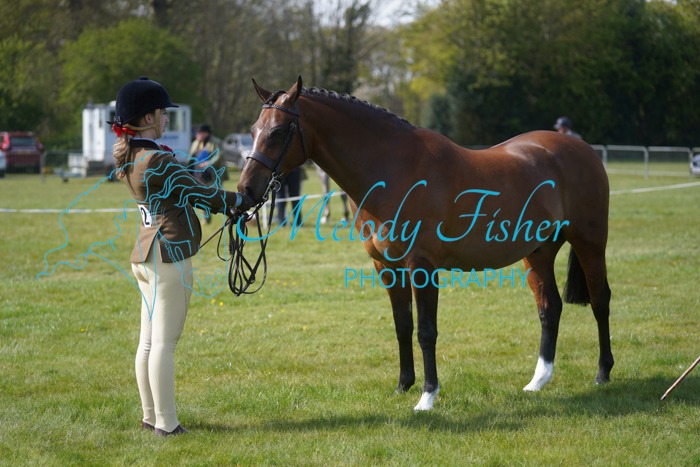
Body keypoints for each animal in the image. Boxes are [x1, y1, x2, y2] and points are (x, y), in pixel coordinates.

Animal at [238, 77, 613, 411]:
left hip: (590, 243)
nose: (245, 191)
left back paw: (602, 373)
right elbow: (402, 326)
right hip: (537, 252)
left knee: (600, 301)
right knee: (549, 308)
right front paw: (403, 386)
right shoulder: (387, 267)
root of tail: (581, 149)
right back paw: (538, 381)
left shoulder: (422, 267)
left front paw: (427, 396)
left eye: (278, 132)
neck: (394, 170)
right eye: (254, 131)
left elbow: (426, 332)